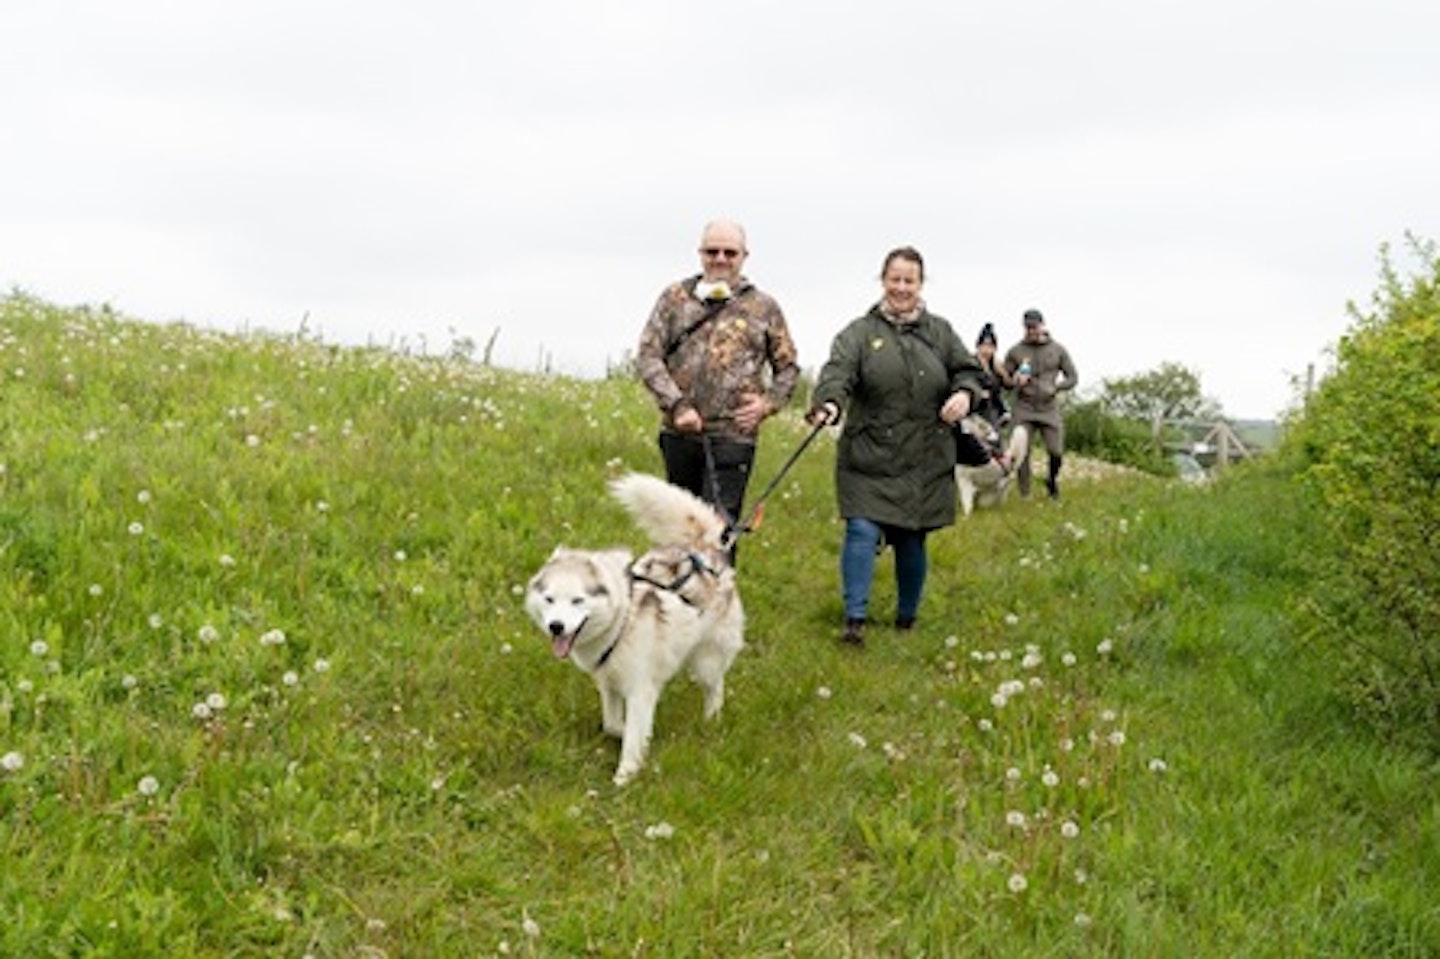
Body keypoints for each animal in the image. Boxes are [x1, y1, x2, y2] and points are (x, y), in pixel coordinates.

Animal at [524, 469, 743, 783]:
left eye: (577, 600)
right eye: (549, 599)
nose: (556, 626)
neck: (621, 623)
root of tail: (704, 551)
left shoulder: (639, 688)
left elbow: (631, 737)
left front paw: (624, 778)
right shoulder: (609, 683)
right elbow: (615, 724)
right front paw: (633, 736)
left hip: (707, 660)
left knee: (715, 687)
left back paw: (711, 720)